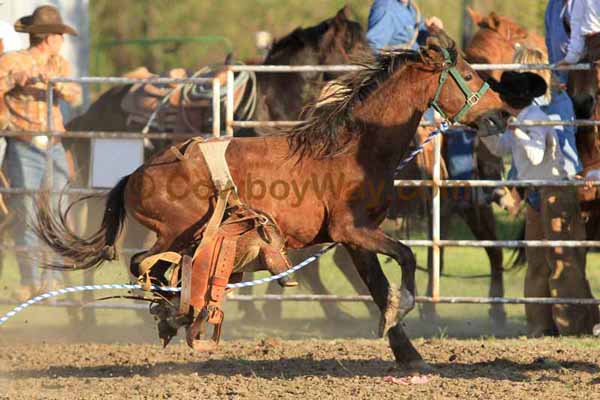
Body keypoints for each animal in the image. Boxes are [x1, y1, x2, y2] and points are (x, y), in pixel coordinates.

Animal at [34, 32, 506, 372]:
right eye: (468, 74)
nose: (500, 114)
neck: (353, 147)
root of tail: (134, 174)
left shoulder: (355, 237)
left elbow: (377, 285)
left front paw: (405, 348)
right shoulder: (353, 229)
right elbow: (405, 258)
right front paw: (403, 309)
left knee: (156, 268)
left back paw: (174, 315)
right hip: (176, 231)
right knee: (143, 263)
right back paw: (173, 314)